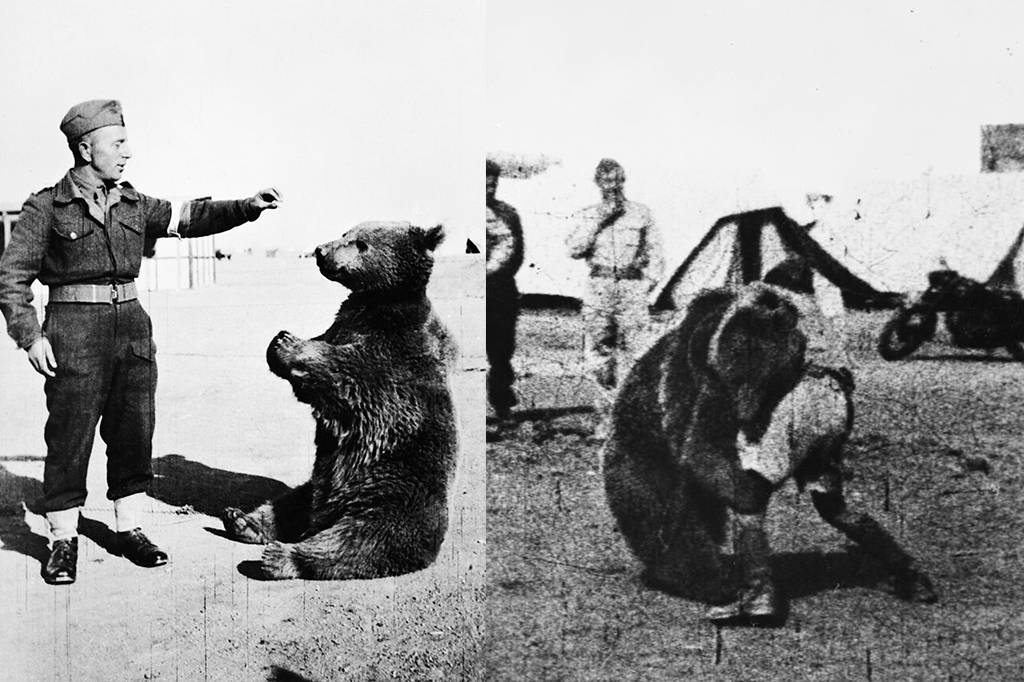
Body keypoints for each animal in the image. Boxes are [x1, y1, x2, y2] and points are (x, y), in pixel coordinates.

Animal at [221, 221, 458, 580]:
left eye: (361, 242)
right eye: (346, 232)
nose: (321, 250)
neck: (378, 300)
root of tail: (325, 514)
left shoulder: (392, 351)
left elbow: (345, 372)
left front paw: (288, 343)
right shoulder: (343, 323)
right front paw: (280, 339)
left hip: (391, 496)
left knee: (359, 539)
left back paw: (280, 557)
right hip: (315, 485)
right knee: (287, 503)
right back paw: (241, 519)